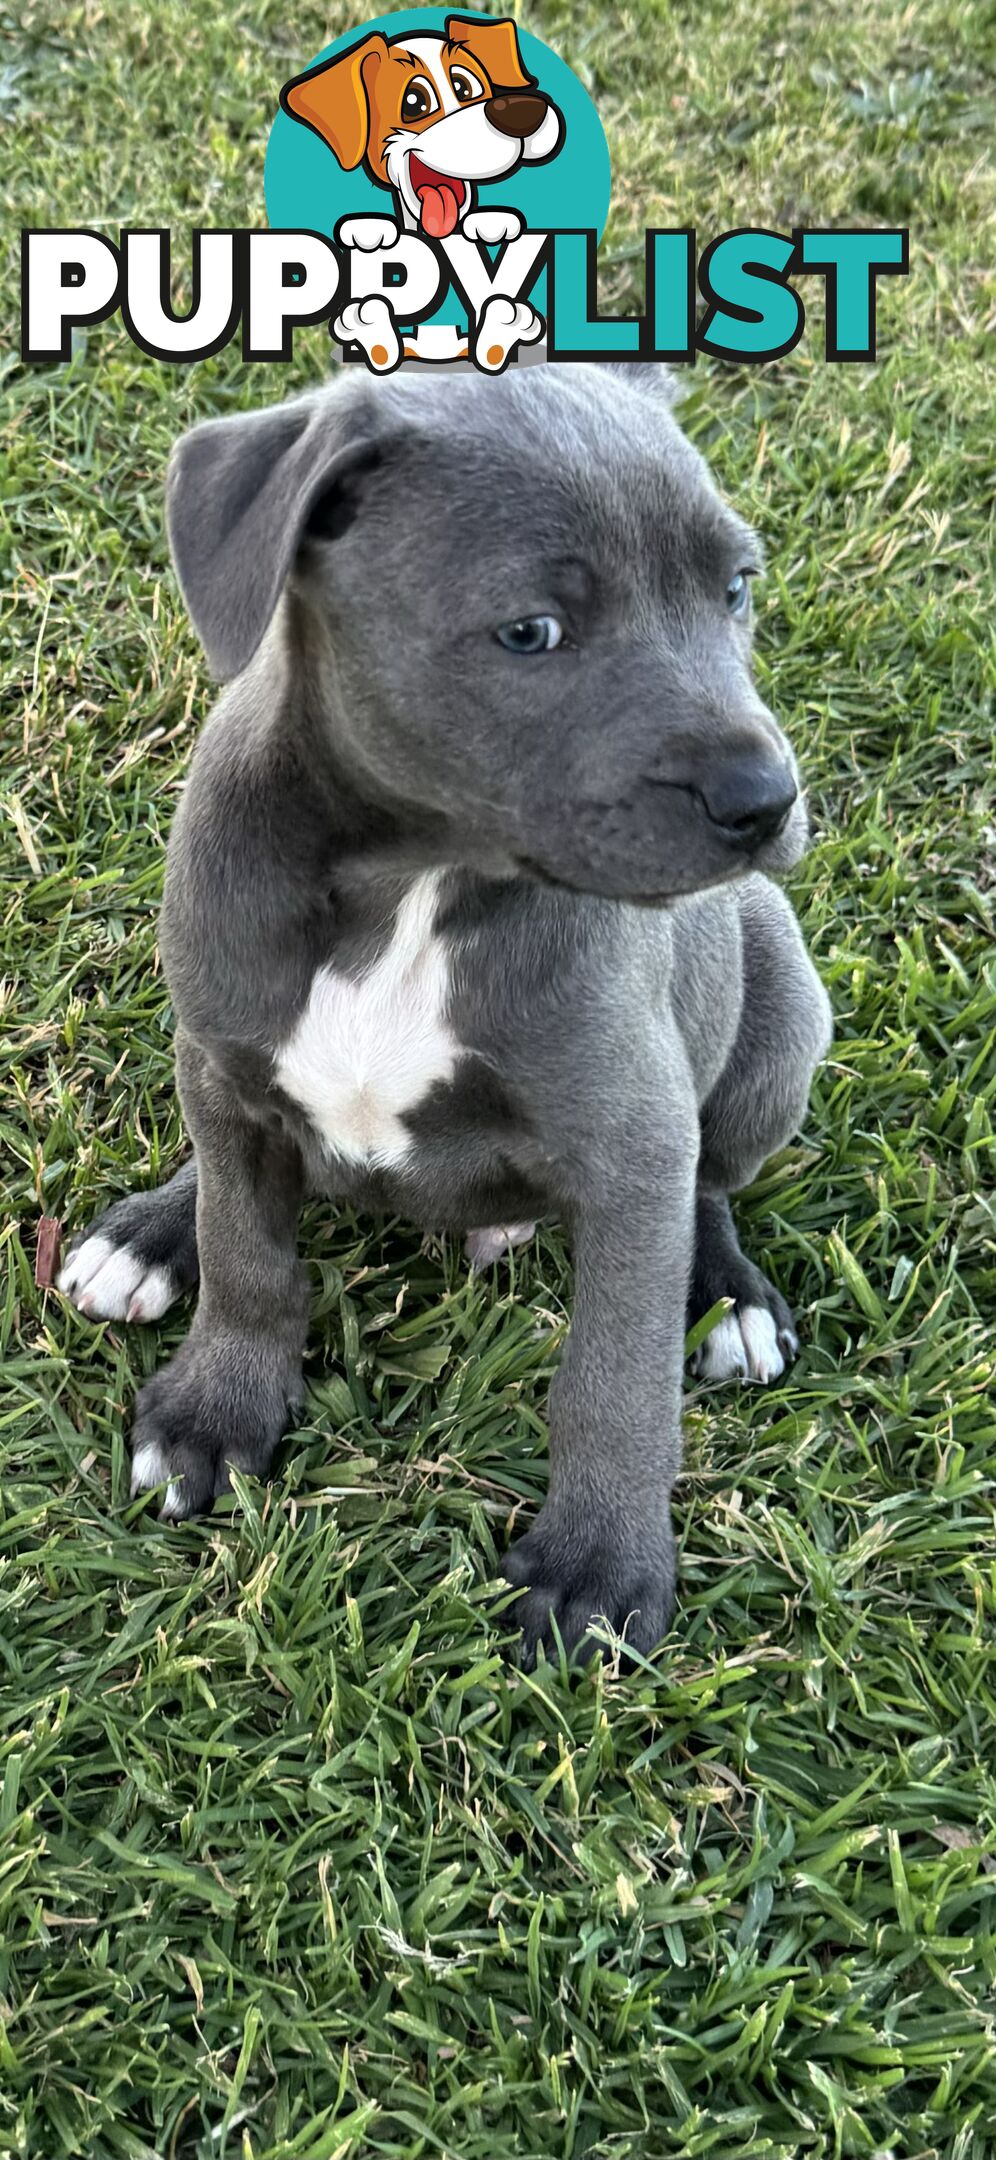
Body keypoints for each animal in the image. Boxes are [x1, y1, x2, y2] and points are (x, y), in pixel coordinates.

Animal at [58, 362, 825, 1658]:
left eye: (736, 588)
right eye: (531, 632)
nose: (764, 799)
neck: (414, 878)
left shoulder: (633, 1143)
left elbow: (616, 1376)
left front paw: (600, 1567)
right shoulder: (225, 1047)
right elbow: (248, 1251)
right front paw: (218, 1411)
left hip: (780, 1005)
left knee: (714, 1178)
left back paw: (726, 1297)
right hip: (212, 1052)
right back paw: (151, 1232)